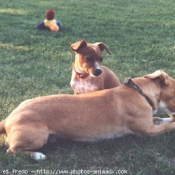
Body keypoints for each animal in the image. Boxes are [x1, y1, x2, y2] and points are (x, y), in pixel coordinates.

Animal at [0, 70, 175, 160]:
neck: (140, 92)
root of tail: (7, 120)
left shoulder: (150, 122)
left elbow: (161, 119)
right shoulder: (148, 131)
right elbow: (168, 126)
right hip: (38, 137)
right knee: (11, 151)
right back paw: (37, 155)